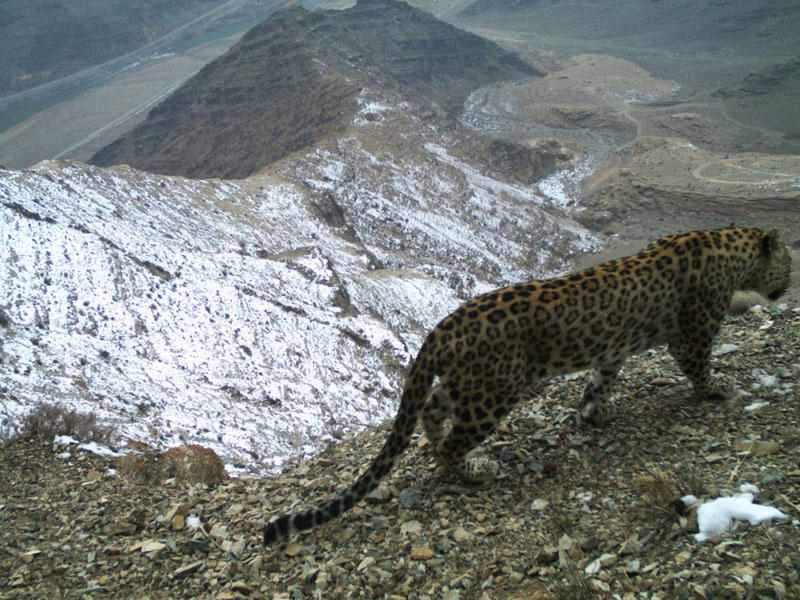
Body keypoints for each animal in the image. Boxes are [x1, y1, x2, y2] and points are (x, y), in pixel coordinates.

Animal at [266, 225, 792, 544]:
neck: (731, 251)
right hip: (493, 394)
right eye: (788, 264)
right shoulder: (694, 332)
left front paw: (594, 412)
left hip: (468, 385)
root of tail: (442, 325)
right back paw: (474, 471)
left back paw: (437, 441)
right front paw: (719, 392)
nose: (786, 286)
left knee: (431, 409)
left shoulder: (613, 349)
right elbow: (699, 367)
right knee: (453, 444)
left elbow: (602, 379)